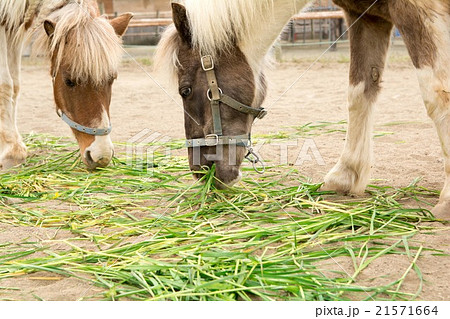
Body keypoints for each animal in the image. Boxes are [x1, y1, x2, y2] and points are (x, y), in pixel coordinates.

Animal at [156, 0, 450, 219]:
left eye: (185, 90)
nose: (199, 171)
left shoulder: (418, 10)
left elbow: (437, 95)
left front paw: (446, 201)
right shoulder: (365, 17)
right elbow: (359, 93)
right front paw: (345, 176)